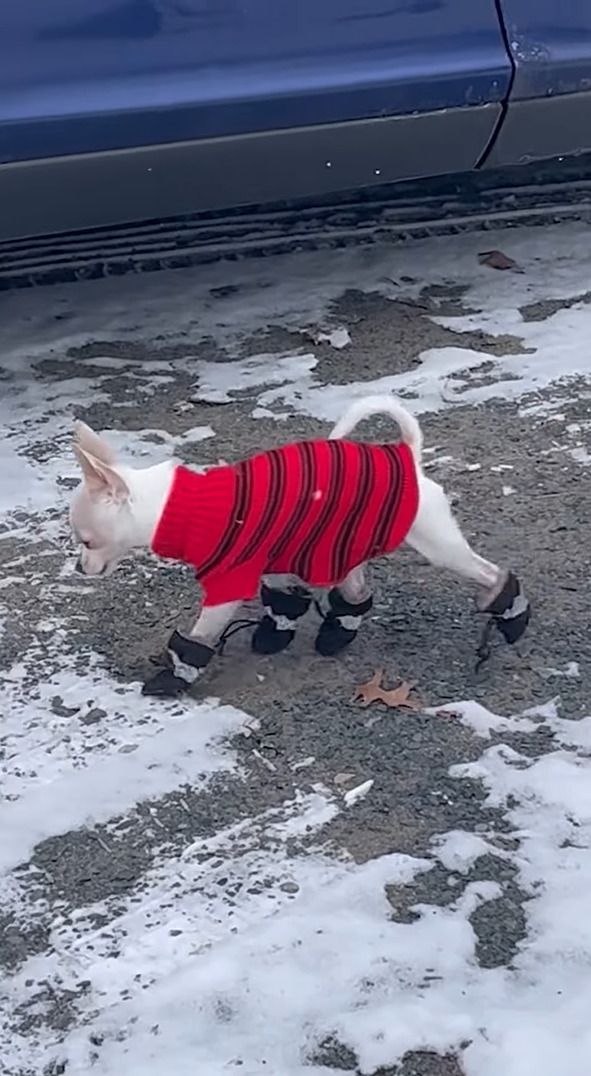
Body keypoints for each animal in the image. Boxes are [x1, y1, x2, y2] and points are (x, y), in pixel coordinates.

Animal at [69, 396, 530, 697]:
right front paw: (277, 631)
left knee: (488, 573)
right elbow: (284, 596)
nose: (78, 568)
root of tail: (407, 454)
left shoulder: (226, 586)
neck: (179, 506)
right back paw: (338, 630)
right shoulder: (273, 559)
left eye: (86, 541)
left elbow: (199, 637)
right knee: (356, 590)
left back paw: (509, 612)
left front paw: (174, 676)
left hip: (436, 543)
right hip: (349, 539)